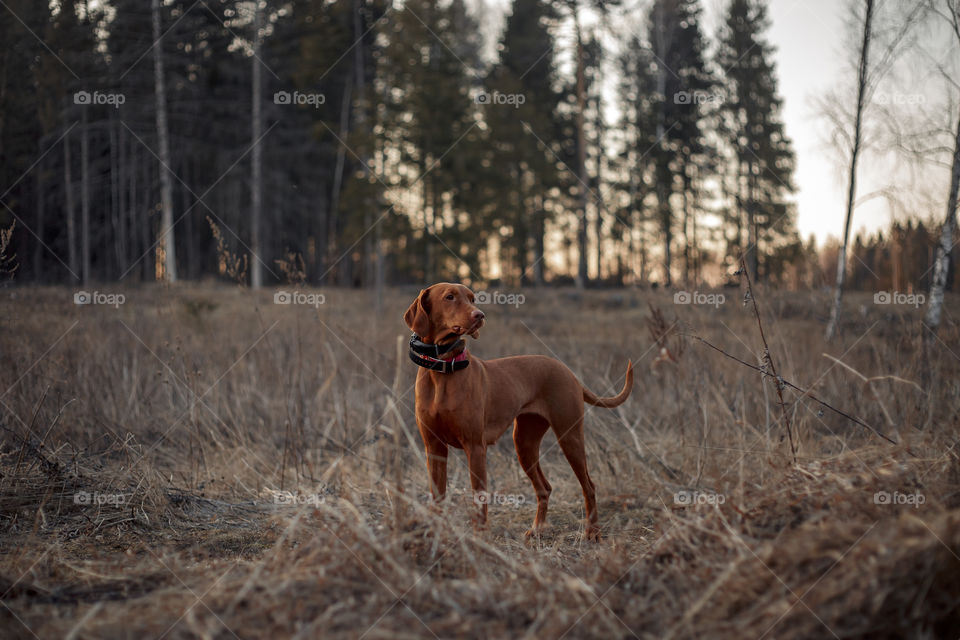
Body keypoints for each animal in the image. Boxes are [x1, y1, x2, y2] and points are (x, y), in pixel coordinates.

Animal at [404, 282, 632, 536]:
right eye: (450, 297)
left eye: (472, 298)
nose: (480, 315)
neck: (442, 369)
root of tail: (568, 371)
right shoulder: (434, 448)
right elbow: (437, 498)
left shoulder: (475, 447)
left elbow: (479, 500)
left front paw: (479, 537)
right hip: (524, 443)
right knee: (545, 487)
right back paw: (537, 529)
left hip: (569, 436)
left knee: (589, 486)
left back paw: (592, 533)